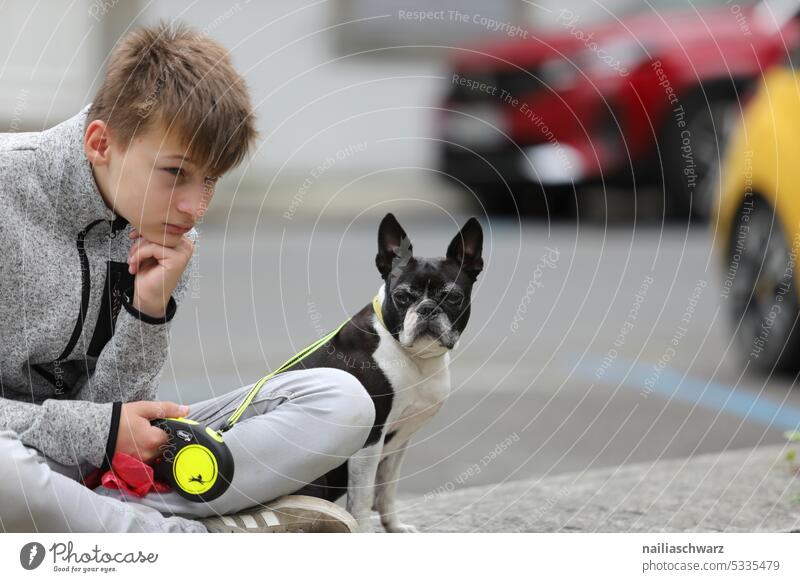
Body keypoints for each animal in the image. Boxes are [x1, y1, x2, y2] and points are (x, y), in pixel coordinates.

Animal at [292, 214, 484, 532]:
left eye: (453, 297)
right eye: (402, 296)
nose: (427, 309)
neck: (413, 357)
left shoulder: (398, 442)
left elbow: (387, 490)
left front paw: (394, 527)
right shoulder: (370, 441)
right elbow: (361, 500)